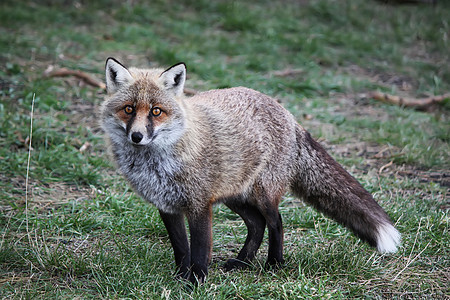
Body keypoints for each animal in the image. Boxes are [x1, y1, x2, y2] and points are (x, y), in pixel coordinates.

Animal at [99, 57, 400, 284]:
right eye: (129, 109)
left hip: (262, 194)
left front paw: (196, 282)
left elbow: (199, 250)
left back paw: (274, 264)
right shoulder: (167, 205)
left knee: (276, 222)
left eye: (156, 111)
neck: (158, 162)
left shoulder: (199, 203)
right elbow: (181, 248)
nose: (137, 136)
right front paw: (181, 278)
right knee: (256, 224)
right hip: (235, 195)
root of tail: (288, 115)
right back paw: (243, 262)